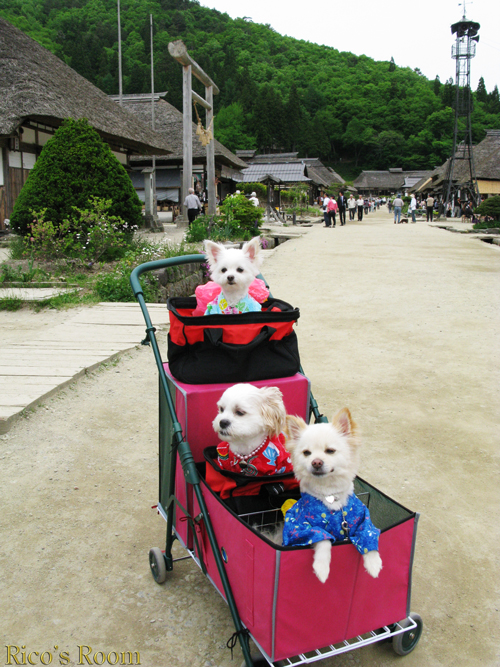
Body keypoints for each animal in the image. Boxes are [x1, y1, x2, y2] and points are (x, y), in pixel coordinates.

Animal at [282, 412, 382, 584]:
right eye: (306, 453)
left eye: (330, 451)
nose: (316, 462)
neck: (330, 495)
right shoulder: (300, 528)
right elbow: (323, 538)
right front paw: (321, 567)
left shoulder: (363, 518)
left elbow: (368, 534)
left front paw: (374, 563)